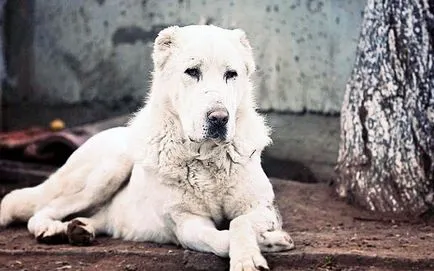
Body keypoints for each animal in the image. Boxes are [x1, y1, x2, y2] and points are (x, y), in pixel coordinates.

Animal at [0, 24, 294, 270]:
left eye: (231, 74)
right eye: (192, 72)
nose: (219, 118)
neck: (206, 157)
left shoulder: (262, 208)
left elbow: (239, 222)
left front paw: (259, 247)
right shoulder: (186, 223)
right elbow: (222, 236)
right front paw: (263, 245)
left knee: (98, 217)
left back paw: (81, 229)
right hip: (107, 171)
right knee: (41, 209)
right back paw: (51, 229)